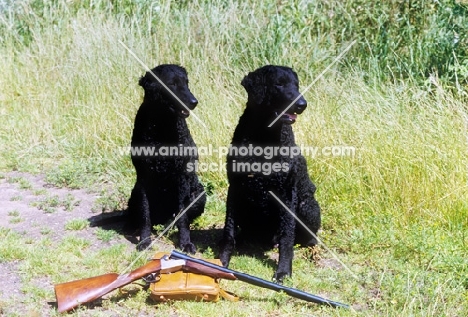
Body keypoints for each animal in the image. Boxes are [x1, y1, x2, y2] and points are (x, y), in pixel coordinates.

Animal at [130, 63, 207, 252]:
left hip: (199, 194)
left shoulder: (182, 178)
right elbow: (145, 214)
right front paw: (144, 241)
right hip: (135, 192)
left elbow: (182, 216)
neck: (162, 126)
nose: (194, 102)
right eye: (172, 84)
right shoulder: (143, 178)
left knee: (175, 218)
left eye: (186, 82)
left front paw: (185, 243)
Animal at [219, 65, 322, 282]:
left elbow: (287, 237)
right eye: (279, 84)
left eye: (296, 85)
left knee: (309, 239)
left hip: (306, 205)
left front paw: (283, 271)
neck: (264, 137)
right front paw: (221, 262)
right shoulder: (235, 188)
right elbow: (228, 232)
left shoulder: (287, 193)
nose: (302, 104)